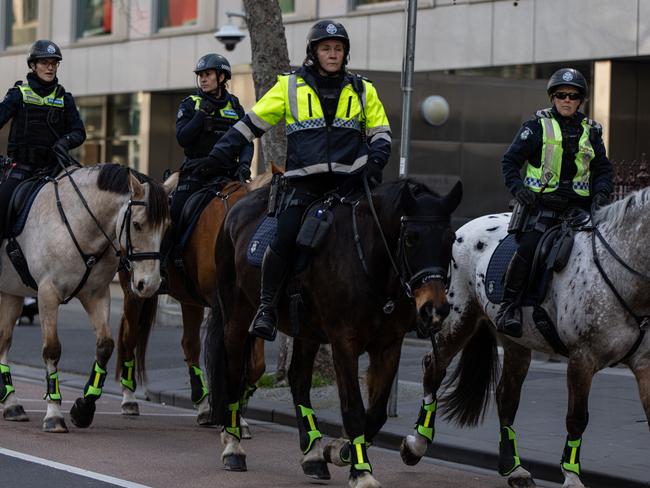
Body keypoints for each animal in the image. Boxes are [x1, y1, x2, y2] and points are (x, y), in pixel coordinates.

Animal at [0, 163, 170, 430]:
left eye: (167, 227)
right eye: (137, 224)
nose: (150, 284)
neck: (76, 221)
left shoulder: (96, 295)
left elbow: (105, 346)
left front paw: (84, 408)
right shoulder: (47, 294)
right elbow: (52, 349)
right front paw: (54, 414)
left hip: (11, 292)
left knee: (4, 341)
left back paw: (12, 405)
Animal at [115, 171, 270, 424]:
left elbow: (256, 365)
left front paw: (237, 414)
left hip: (190, 300)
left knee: (190, 344)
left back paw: (202, 405)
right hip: (134, 292)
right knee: (130, 337)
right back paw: (129, 399)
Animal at [204, 177, 460, 486]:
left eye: (450, 239)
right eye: (411, 238)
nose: (435, 309)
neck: (367, 259)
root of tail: (235, 209)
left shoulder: (388, 345)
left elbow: (376, 413)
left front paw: (340, 451)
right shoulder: (344, 343)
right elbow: (354, 409)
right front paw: (362, 472)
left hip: (306, 332)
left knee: (298, 380)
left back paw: (313, 455)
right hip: (237, 316)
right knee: (232, 373)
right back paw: (233, 447)